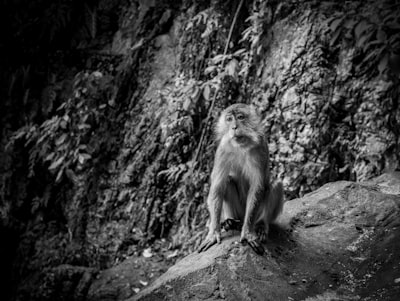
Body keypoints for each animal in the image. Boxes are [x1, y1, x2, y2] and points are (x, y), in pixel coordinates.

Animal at [198, 102, 284, 253]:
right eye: (229, 119)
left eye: (240, 117)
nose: (234, 127)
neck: (241, 146)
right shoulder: (222, 150)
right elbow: (217, 187)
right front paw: (213, 233)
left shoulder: (260, 147)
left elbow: (257, 187)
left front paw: (248, 233)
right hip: (239, 211)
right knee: (227, 181)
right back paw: (230, 222)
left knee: (275, 183)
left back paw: (262, 224)